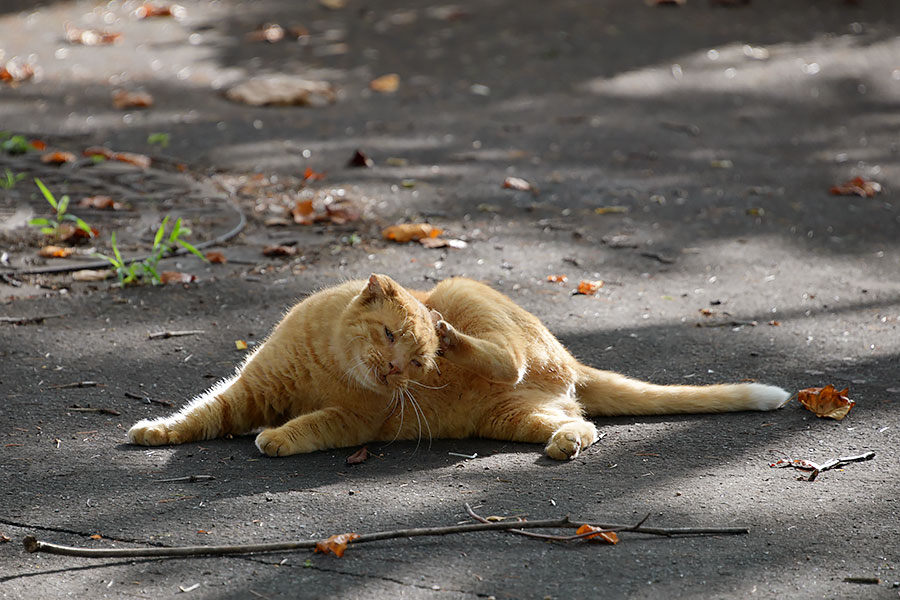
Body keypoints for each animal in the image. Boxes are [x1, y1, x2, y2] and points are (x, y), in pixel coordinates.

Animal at [128, 276, 788, 460]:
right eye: (389, 337)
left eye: (416, 364)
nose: (397, 372)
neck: (330, 364)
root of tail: (569, 360)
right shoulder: (252, 388)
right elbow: (204, 412)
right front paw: (156, 431)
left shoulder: (354, 422)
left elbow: (310, 426)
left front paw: (276, 438)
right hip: (513, 416)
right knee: (578, 422)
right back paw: (564, 443)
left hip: (468, 297)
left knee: (510, 359)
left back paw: (453, 334)